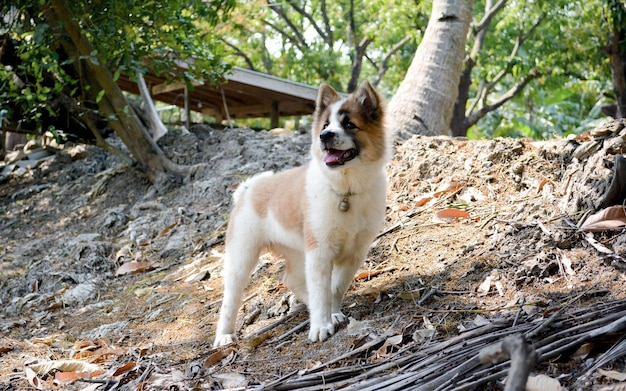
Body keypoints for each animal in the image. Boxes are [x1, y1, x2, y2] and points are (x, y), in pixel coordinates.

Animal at [214, 79, 388, 346]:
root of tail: (247, 190)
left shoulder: (354, 253)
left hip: (297, 252)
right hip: (242, 259)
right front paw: (320, 325)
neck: (345, 191)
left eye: (349, 124)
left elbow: (334, 288)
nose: (324, 136)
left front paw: (331, 314)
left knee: (292, 280)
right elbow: (321, 290)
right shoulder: (320, 252)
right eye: (325, 125)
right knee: (229, 299)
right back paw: (224, 335)